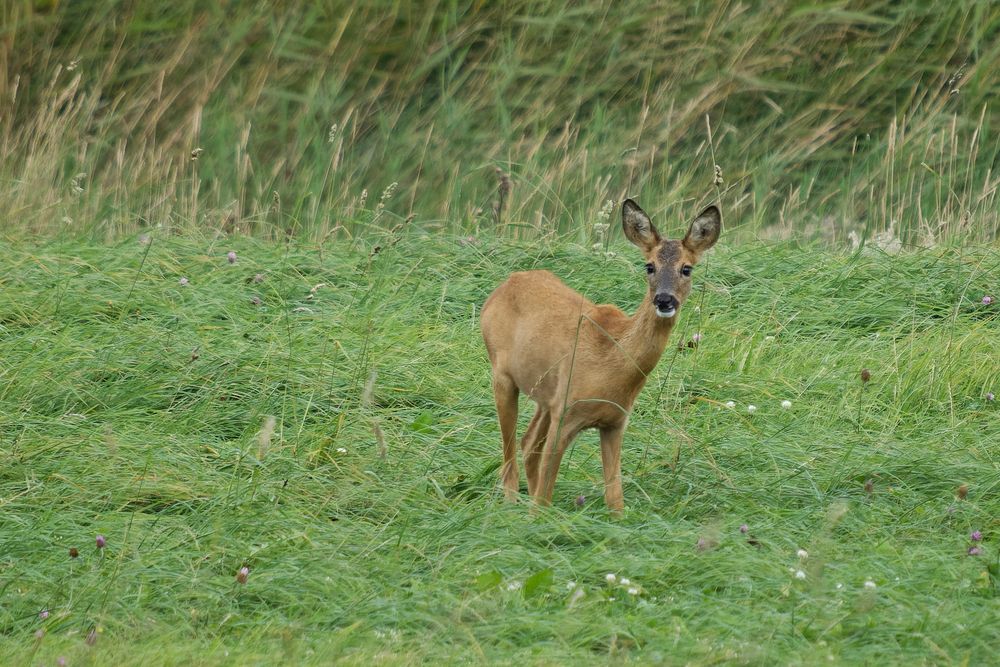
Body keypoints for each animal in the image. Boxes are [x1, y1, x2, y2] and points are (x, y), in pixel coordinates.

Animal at [478, 198, 720, 512]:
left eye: (687, 268)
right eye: (649, 266)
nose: (664, 300)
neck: (611, 365)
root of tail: (504, 286)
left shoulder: (614, 422)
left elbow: (615, 499)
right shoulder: (566, 414)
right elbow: (546, 494)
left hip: (546, 395)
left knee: (528, 444)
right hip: (502, 375)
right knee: (510, 456)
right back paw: (510, 506)